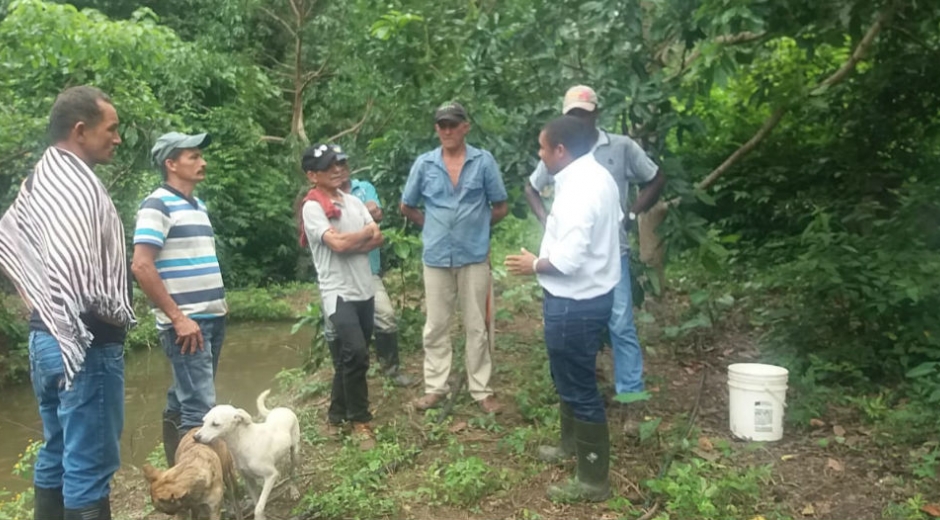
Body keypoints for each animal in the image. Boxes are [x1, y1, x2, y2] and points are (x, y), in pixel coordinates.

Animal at [196, 390, 300, 520]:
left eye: (215, 424)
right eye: (203, 421)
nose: (195, 437)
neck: (244, 441)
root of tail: (281, 409)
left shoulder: (271, 476)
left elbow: (259, 507)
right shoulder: (249, 480)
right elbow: (256, 503)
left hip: (294, 452)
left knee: (292, 473)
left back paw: (294, 490)